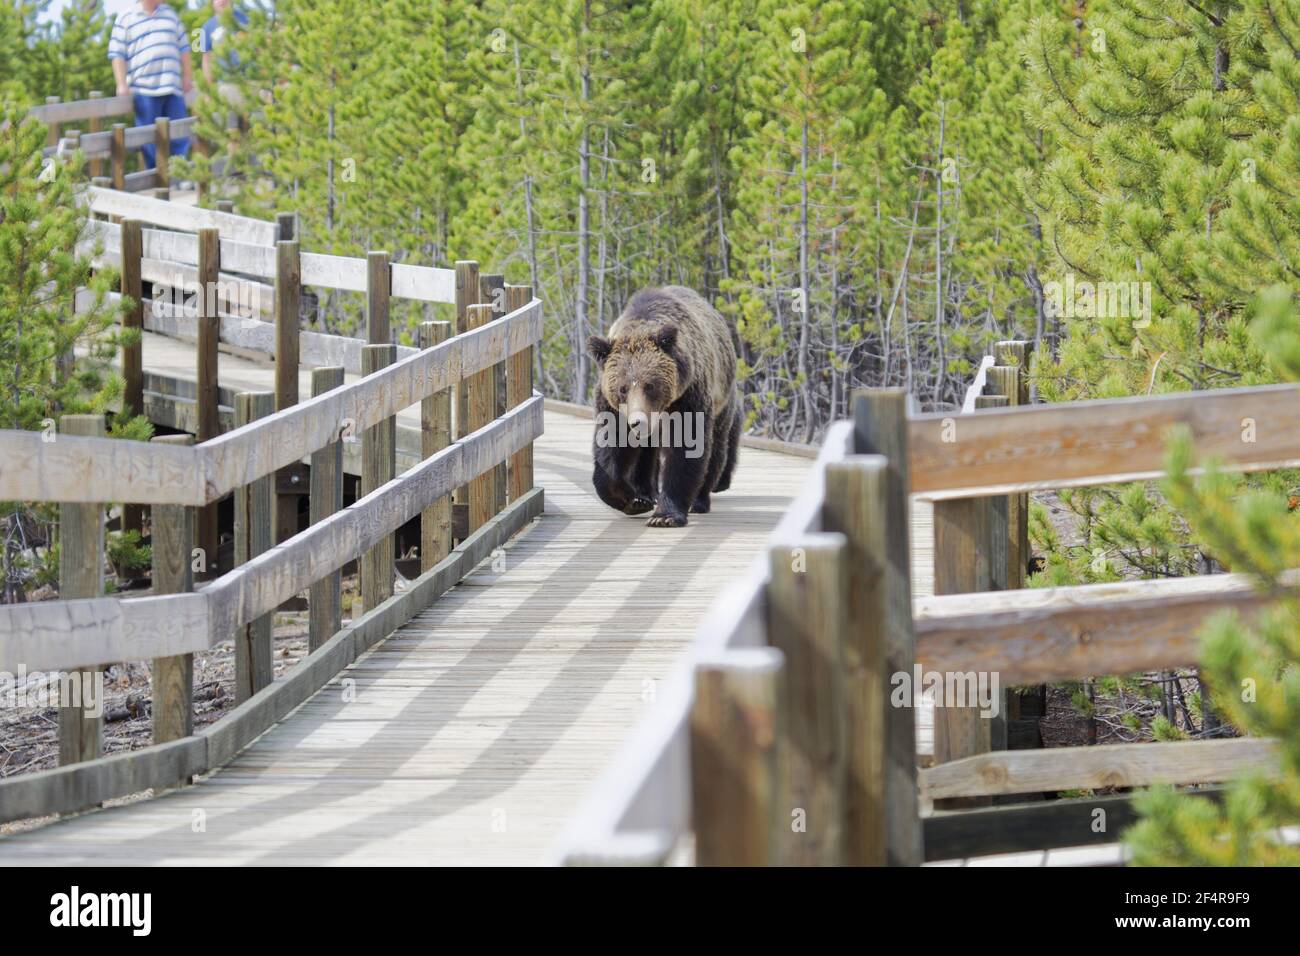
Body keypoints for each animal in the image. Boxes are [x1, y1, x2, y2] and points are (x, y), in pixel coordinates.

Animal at [587, 286, 741, 528]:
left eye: (650, 385)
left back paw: (700, 500)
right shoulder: (612, 407)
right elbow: (611, 448)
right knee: (647, 454)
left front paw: (665, 515)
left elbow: (687, 448)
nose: (638, 422)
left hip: (722, 400)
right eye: (622, 388)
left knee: (716, 449)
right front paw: (632, 500)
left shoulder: (688, 396)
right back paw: (646, 492)